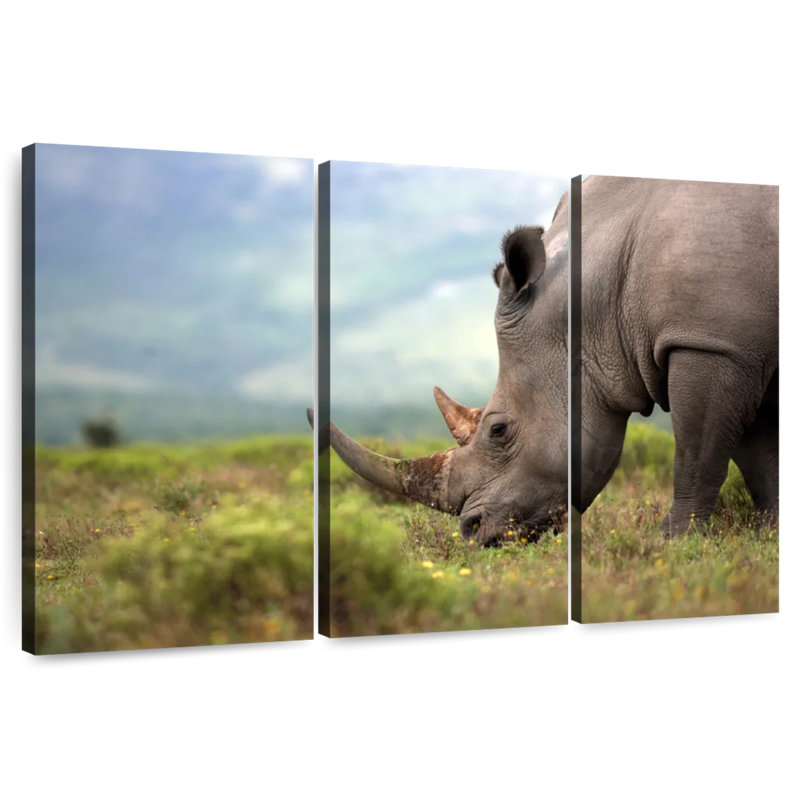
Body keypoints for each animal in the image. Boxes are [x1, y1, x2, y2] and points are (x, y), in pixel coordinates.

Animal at [326, 175, 778, 541]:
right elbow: (758, 453)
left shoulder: (710, 342)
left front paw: (675, 541)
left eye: (499, 430)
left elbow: (697, 450)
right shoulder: (740, 346)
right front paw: (771, 534)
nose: (472, 531)